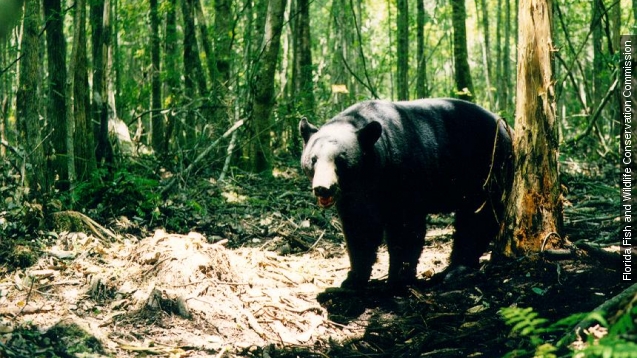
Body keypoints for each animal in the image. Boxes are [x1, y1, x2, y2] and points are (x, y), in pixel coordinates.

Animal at [300, 98, 516, 288]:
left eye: (340, 159)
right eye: (313, 159)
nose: (323, 188)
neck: (369, 176)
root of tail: (509, 130)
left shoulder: (404, 178)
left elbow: (405, 228)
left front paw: (398, 279)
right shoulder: (354, 196)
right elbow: (360, 229)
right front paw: (354, 278)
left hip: (488, 169)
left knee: (477, 219)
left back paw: (455, 269)